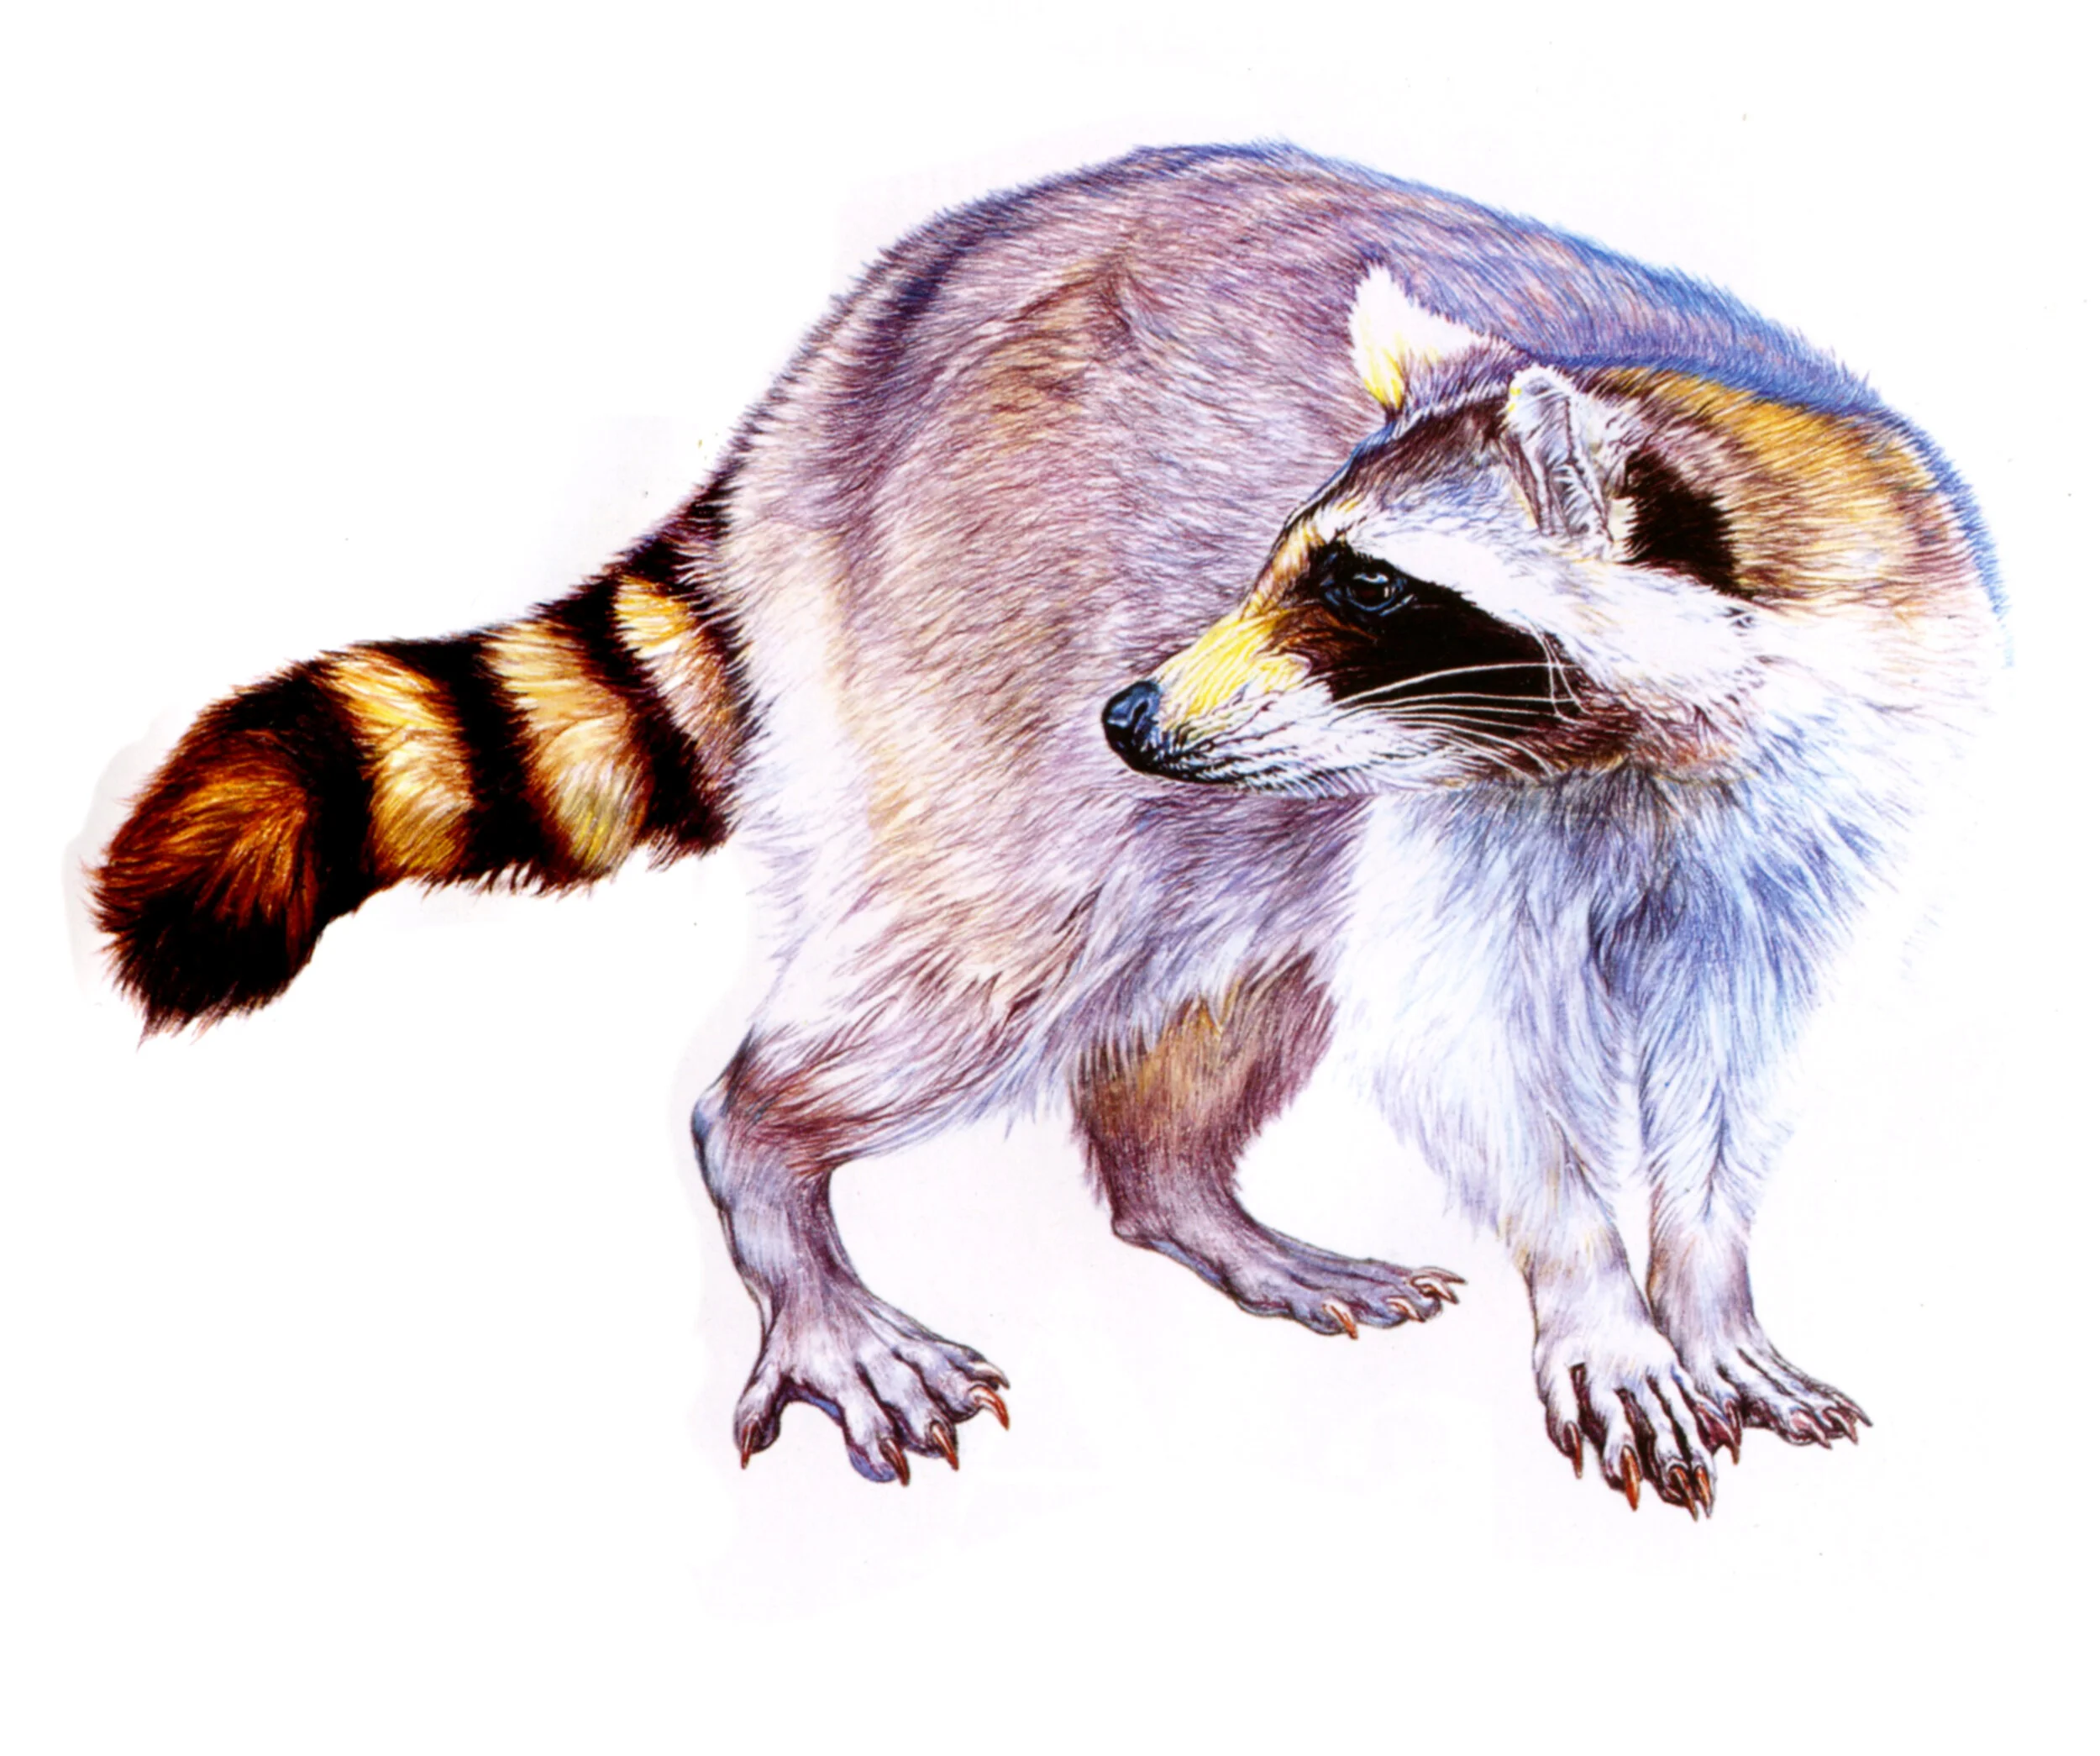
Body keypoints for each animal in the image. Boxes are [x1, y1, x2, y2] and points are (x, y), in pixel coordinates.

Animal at [94, 146, 1997, 1514]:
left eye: (1368, 589)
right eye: (1286, 556)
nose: (1135, 717)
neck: (1636, 744)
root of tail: (847, 346)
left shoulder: (1835, 793)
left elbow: (1736, 1056)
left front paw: (1708, 1285)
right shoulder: (1465, 819)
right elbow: (1480, 1040)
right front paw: (1594, 1284)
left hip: (1231, 802)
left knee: (1215, 975)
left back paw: (1181, 1188)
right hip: (968, 648)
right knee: (987, 958)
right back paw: (769, 1153)